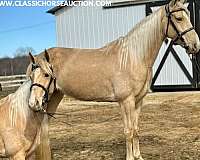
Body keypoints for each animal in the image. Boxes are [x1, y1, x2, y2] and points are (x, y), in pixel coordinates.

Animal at [27, 0, 199, 159]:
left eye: (188, 16)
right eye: (178, 18)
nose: (195, 45)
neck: (133, 57)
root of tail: (38, 57)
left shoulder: (138, 101)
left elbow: (136, 129)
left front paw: (138, 156)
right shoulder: (126, 101)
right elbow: (128, 131)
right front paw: (130, 157)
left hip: (54, 96)